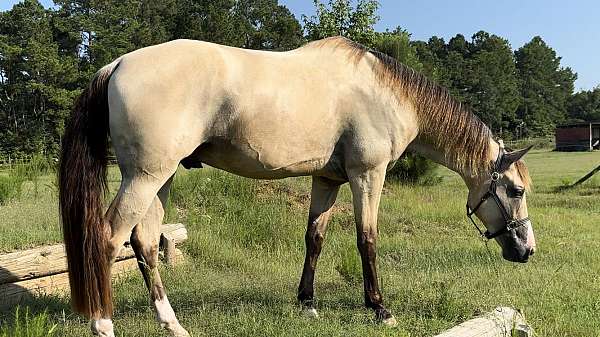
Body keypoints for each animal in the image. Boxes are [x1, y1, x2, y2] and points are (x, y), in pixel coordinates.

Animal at [58, 36, 536, 336]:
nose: (527, 250)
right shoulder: (368, 175)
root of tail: (118, 63)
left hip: (161, 178)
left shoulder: (326, 179)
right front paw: (380, 309)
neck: (385, 93)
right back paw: (103, 323)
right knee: (108, 237)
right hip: (145, 177)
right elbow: (367, 239)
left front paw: (307, 303)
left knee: (144, 242)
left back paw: (171, 323)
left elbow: (315, 238)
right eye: (515, 191)